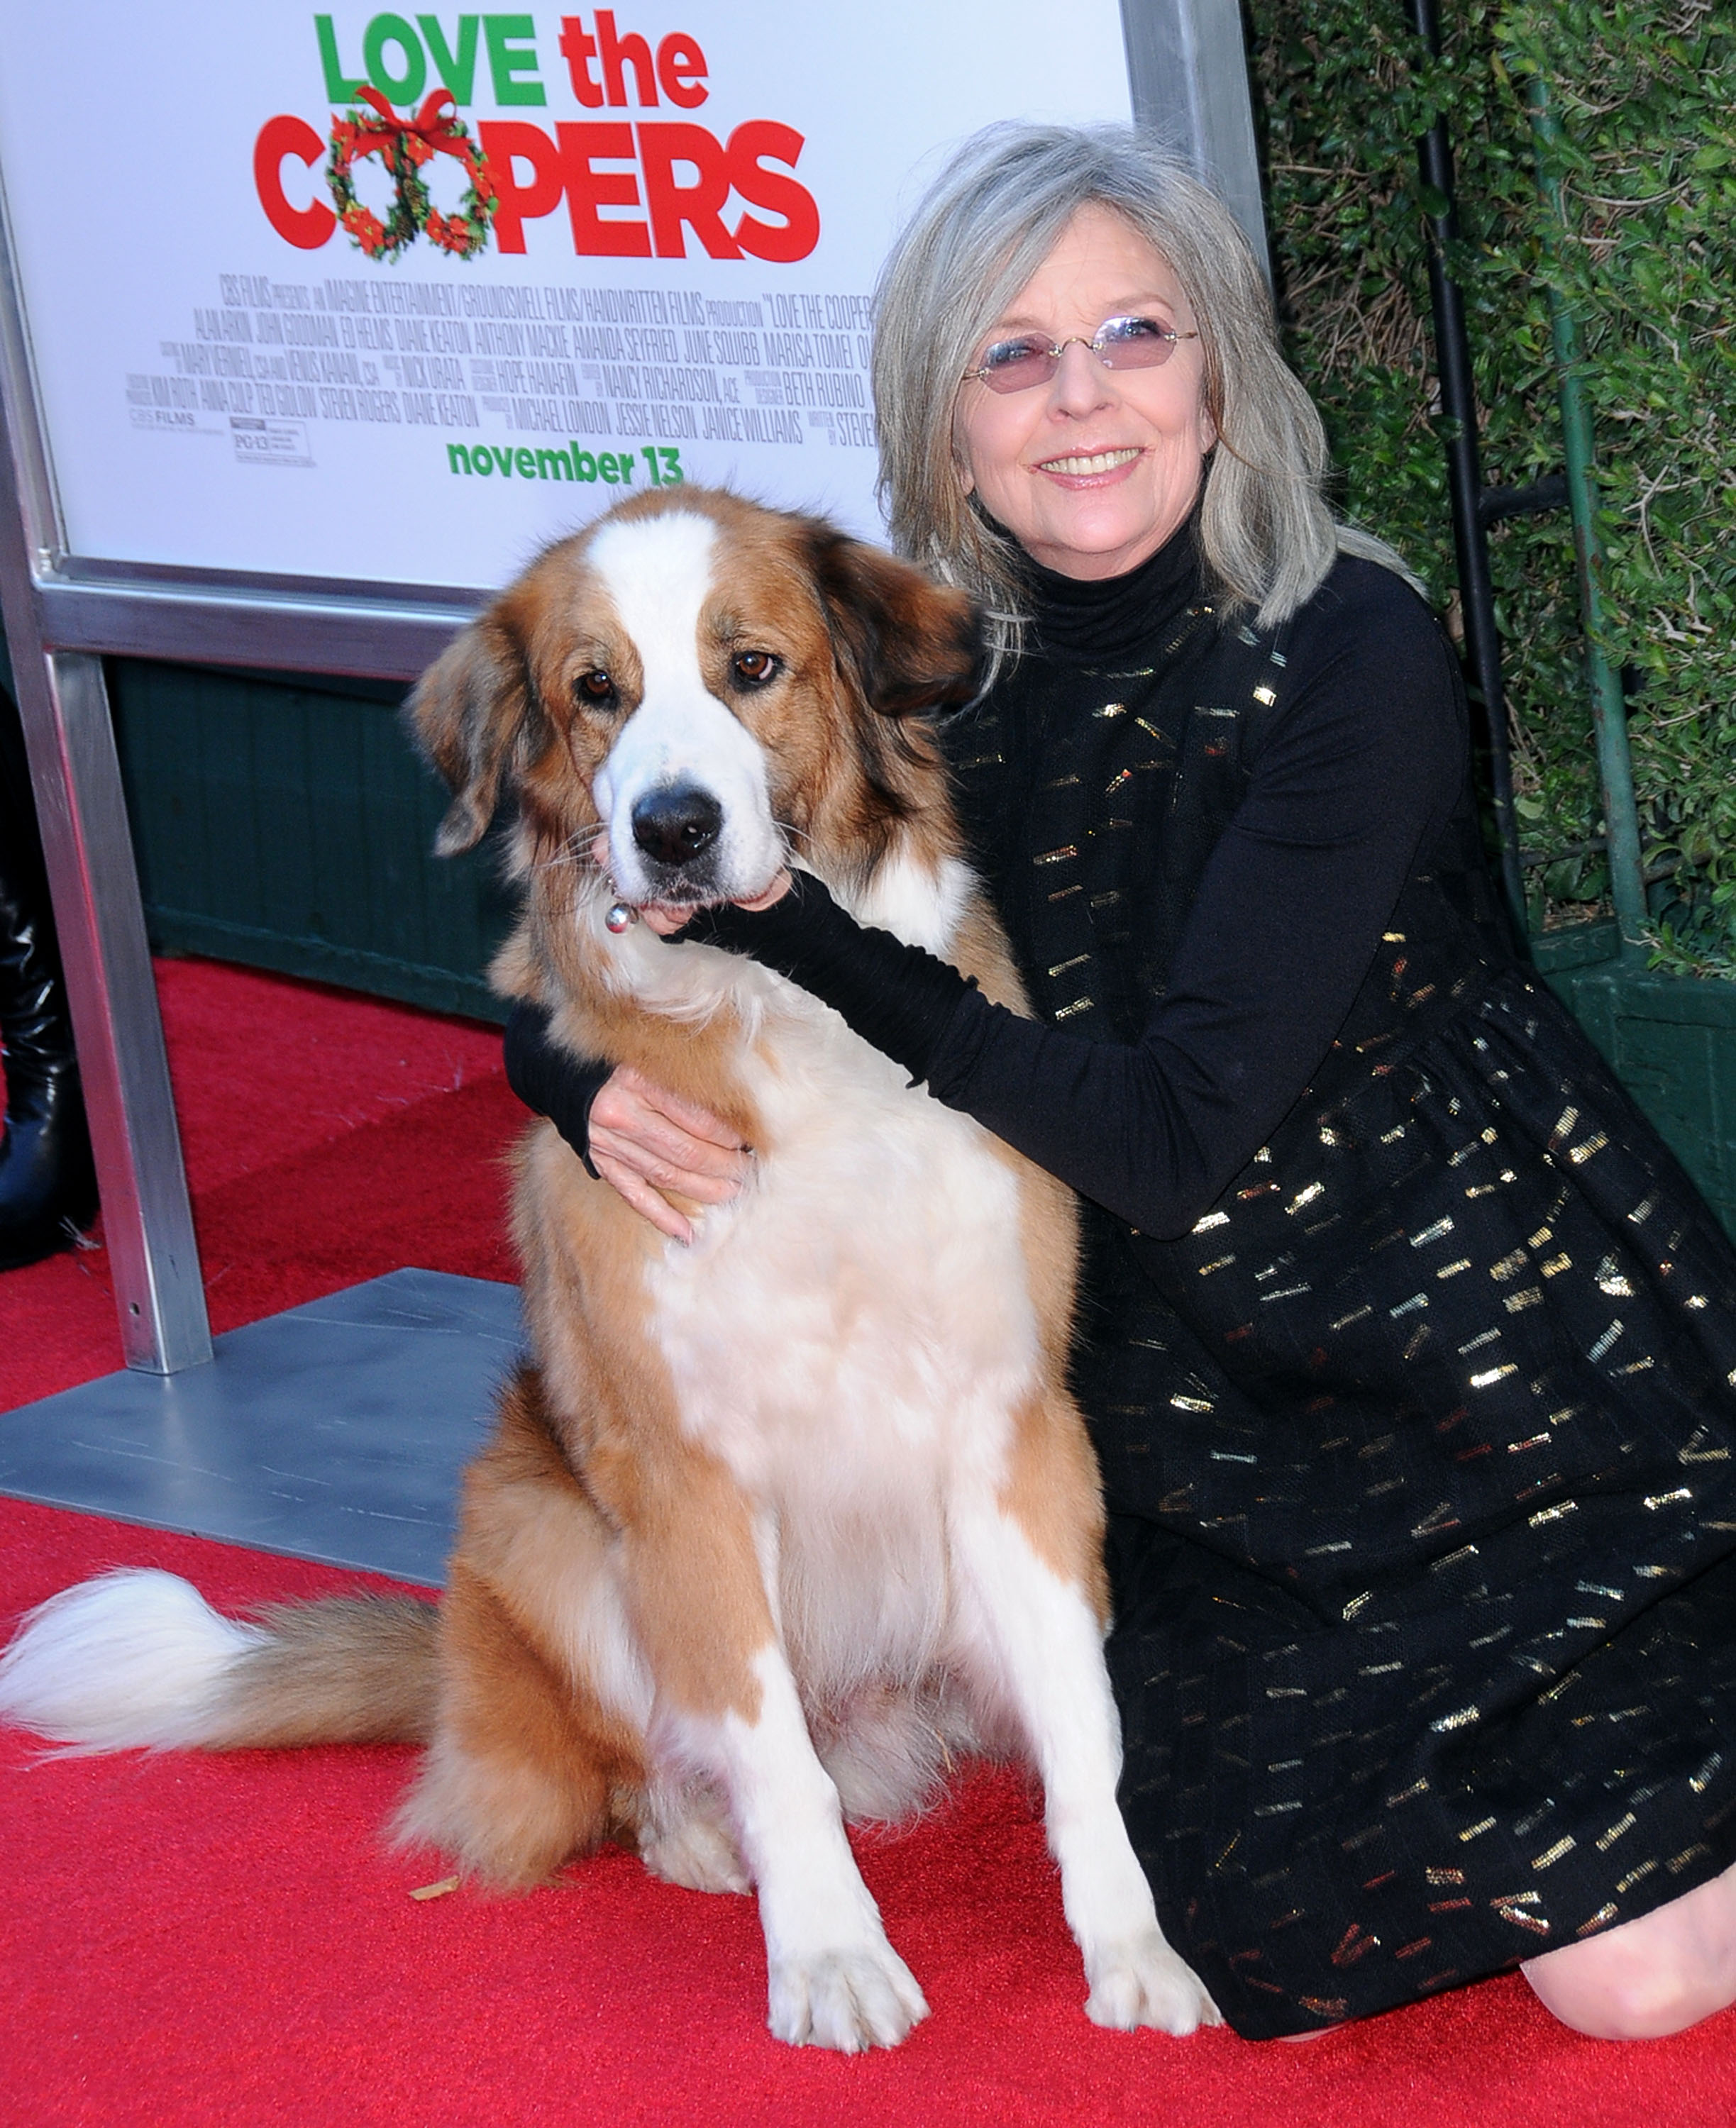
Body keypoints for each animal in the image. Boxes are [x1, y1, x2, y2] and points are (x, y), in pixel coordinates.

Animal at [0, 489, 1217, 2051]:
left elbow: (1080, 1721)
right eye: (597, 692)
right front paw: (828, 1952)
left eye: (751, 668)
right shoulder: (684, 1473)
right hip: (548, 1535)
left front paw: (1127, 1941)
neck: (772, 1010)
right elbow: (765, 1745)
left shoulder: (1011, 1428)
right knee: (642, 1769)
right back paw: (695, 1834)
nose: (672, 827)